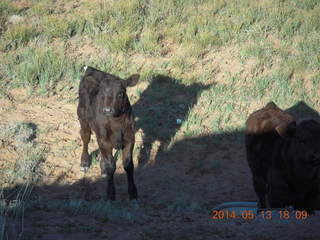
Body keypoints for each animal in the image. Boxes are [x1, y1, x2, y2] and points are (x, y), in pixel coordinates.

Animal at [77, 65, 139, 201]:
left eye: (120, 93)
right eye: (101, 94)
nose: (107, 110)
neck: (116, 123)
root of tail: (91, 69)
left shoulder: (130, 138)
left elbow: (128, 165)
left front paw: (133, 192)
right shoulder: (105, 140)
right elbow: (111, 167)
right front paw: (111, 193)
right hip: (82, 117)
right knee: (85, 137)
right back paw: (84, 162)